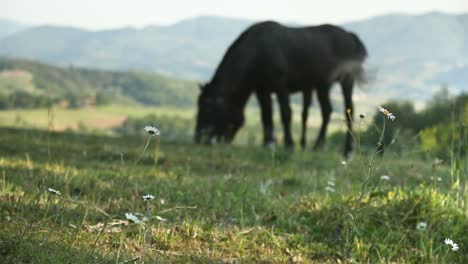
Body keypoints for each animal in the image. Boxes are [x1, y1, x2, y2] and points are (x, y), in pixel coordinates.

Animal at [193, 21, 366, 157]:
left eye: (208, 109)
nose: (198, 138)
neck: (258, 51)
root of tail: (350, 36)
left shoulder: (281, 86)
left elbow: (285, 113)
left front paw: (288, 144)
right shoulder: (261, 90)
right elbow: (266, 116)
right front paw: (268, 143)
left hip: (346, 79)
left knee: (347, 108)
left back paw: (346, 149)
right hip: (322, 84)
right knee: (327, 110)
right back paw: (319, 146)